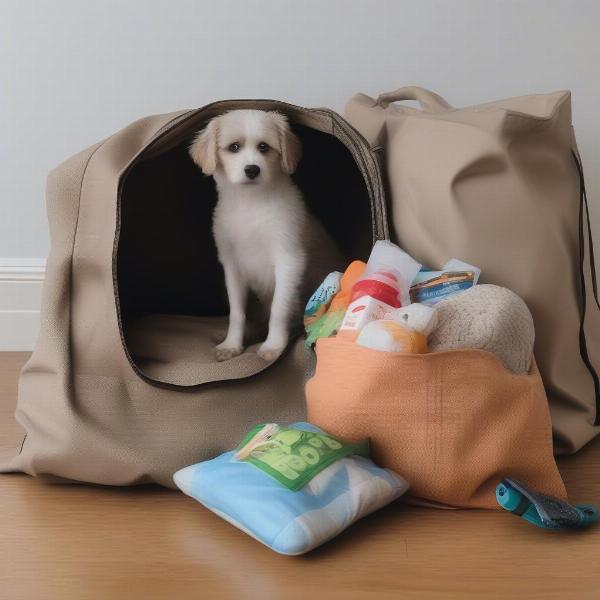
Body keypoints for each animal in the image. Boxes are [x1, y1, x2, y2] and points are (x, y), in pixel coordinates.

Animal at [190, 109, 344, 360]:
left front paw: (273, 345)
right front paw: (231, 344)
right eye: (234, 147)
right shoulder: (232, 266)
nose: (252, 169)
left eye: (264, 147)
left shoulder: (288, 260)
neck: (251, 203)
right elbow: (237, 312)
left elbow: (278, 309)